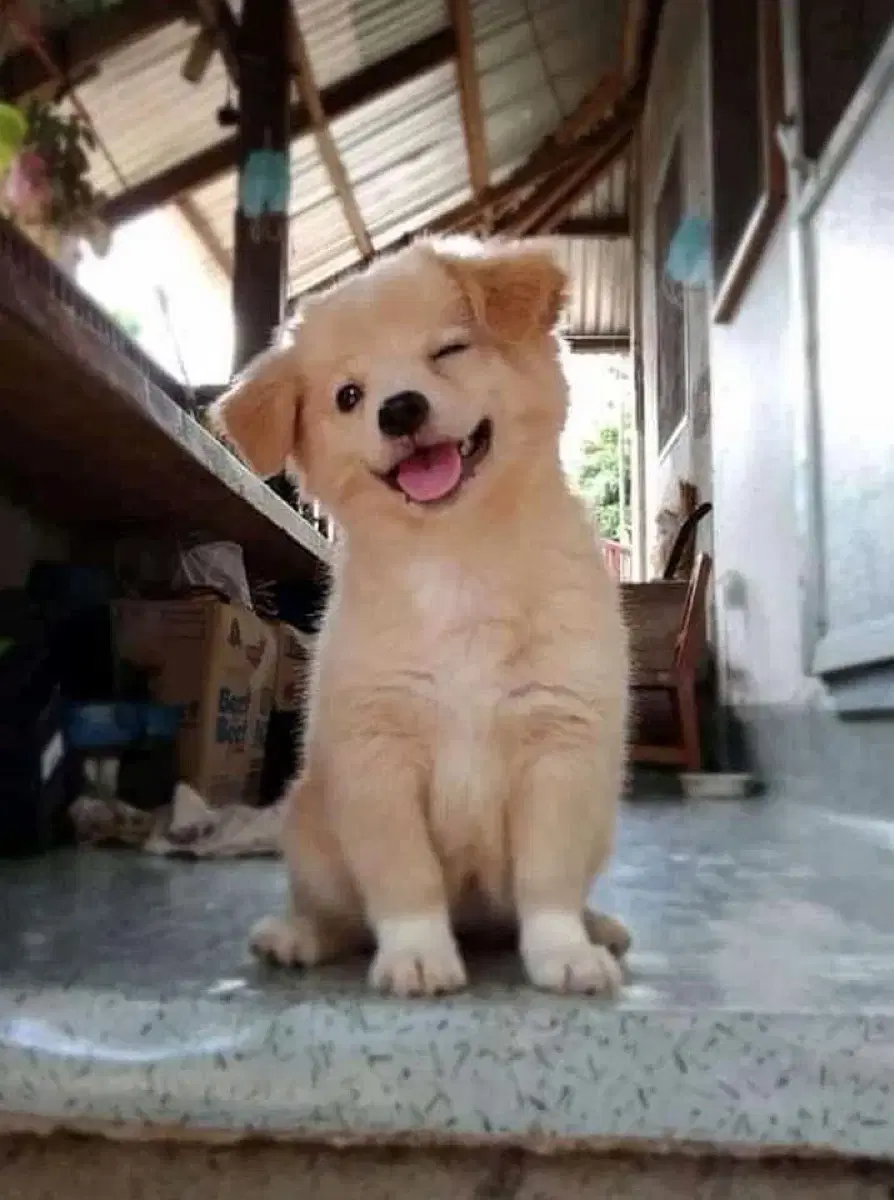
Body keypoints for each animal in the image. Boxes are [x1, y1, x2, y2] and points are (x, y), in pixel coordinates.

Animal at [208, 234, 628, 993]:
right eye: (348, 396)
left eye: (449, 351)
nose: (399, 409)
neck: (457, 557)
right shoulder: (377, 758)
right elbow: (405, 879)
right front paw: (417, 955)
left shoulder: (560, 748)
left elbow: (547, 881)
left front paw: (564, 952)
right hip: (310, 833)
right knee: (336, 912)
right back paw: (297, 937)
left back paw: (599, 928)